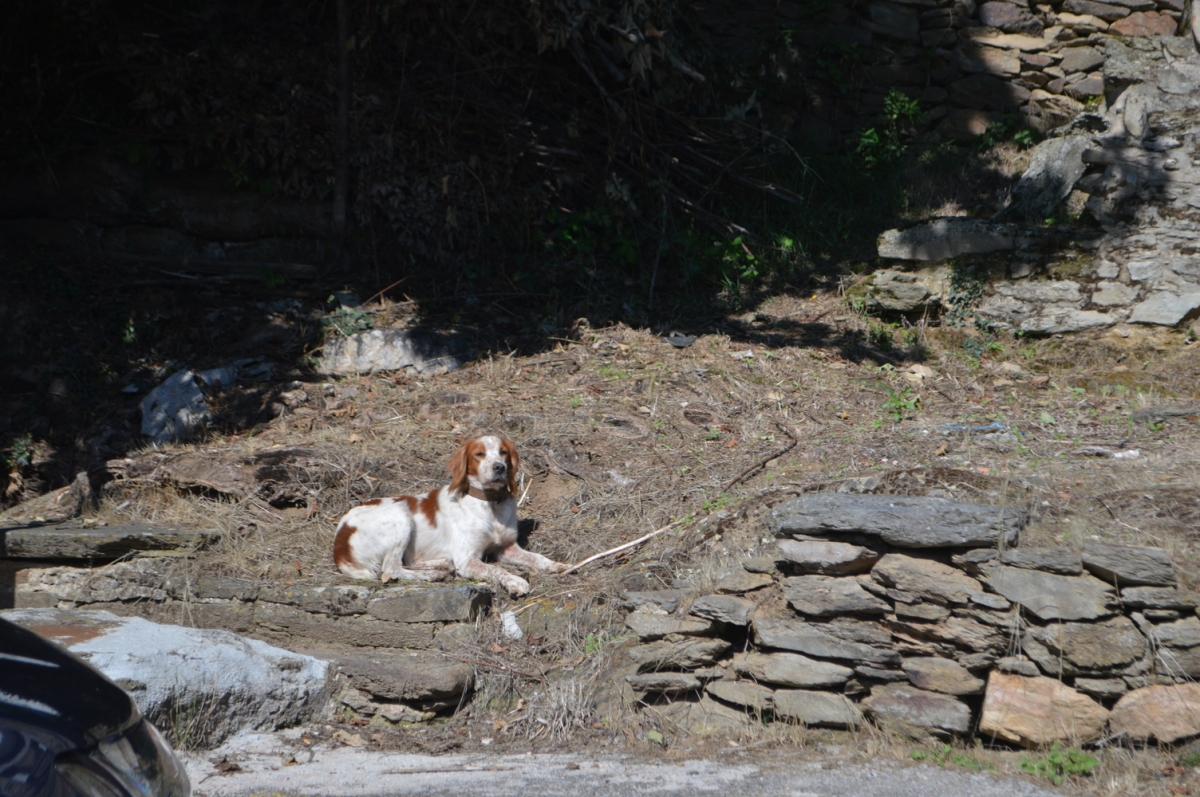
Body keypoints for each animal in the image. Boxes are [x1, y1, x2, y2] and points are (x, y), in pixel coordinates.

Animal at [331, 436, 568, 597]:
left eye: (503, 452)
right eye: (479, 454)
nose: (499, 467)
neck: (489, 504)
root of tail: (340, 540)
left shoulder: (507, 547)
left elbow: (536, 557)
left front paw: (557, 565)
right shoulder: (467, 559)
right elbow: (496, 569)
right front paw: (514, 582)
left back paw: (440, 564)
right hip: (400, 517)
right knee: (390, 569)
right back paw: (432, 574)